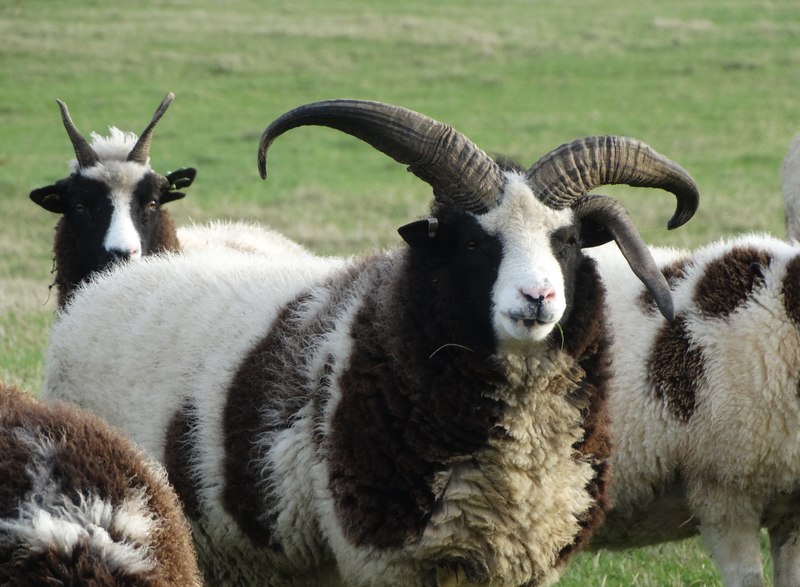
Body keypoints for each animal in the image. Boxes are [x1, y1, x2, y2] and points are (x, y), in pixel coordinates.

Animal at [39, 99, 700, 584]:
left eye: (567, 241)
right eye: (471, 242)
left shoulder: (523, 558)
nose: (539, 297)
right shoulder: (387, 557)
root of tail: (107, 282)